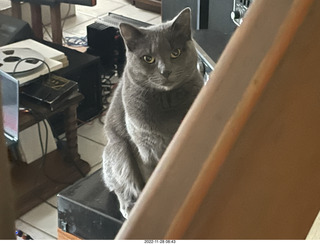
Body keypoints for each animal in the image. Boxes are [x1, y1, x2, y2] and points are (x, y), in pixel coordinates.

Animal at [101, 7, 204, 218]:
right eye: (148, 58)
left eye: (175, 53)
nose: (166, 71)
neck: (167, 100)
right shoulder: (144, 148)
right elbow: (149, 179)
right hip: (118, 149)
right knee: (121, 186)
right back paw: (129, 207)